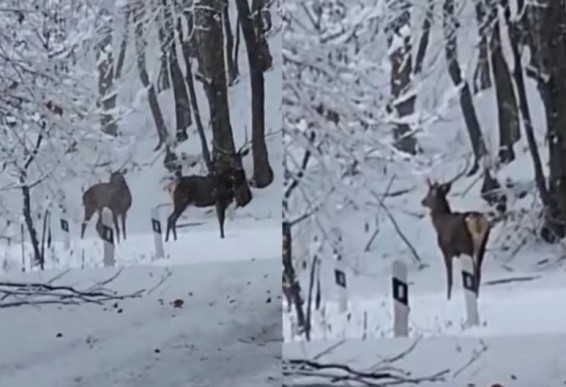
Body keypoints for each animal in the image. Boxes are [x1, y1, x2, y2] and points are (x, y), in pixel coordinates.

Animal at [422, 162, 492, 302]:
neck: (439, 223)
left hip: (468, 246)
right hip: (483, 244)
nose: (423, 201)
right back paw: (477, 296)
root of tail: (478, 221)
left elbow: (450, 278)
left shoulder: (447, 250)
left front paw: (448, 299)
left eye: (429, 193)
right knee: (479, 271)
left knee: (475, 272)